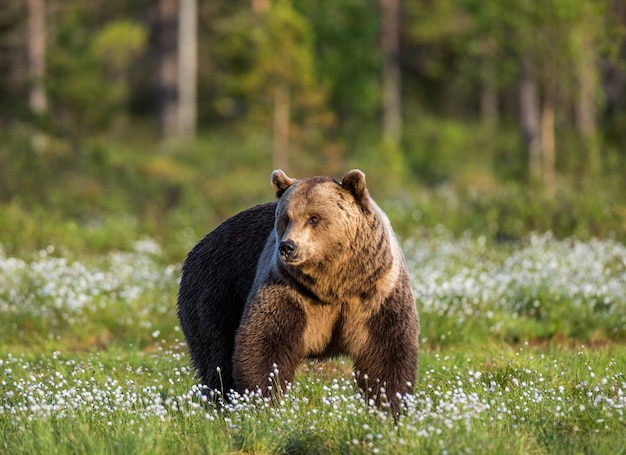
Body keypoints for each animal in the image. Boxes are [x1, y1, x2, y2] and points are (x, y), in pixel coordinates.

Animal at [177, 168, 420, 414]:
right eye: (286, 218)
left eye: (314, 218)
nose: (288, 247)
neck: (334, 284)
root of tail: (199, 245)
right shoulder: (288, 290)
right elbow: (264, 342)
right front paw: (264, 402)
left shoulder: (376, 293)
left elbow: (386, 349)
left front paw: (388, 405)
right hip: (214, 292)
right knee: (216, 357)